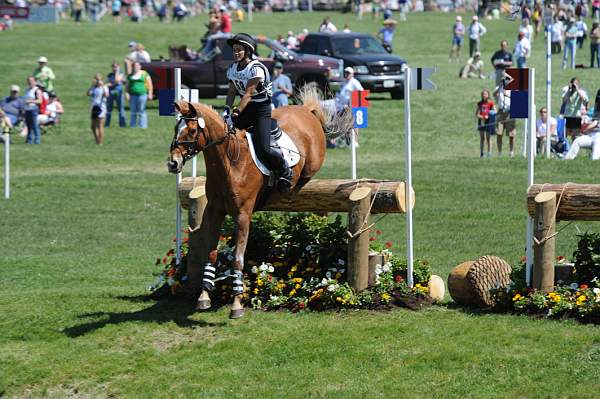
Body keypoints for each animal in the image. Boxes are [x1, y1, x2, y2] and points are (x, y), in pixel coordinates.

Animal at [166, 89, 352, 320]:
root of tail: (305, 110)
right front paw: (204, 296)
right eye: (176, 128)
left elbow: (237, 259)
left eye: (191, 131)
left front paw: (236, 304)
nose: (173, 163)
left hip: (312, 164)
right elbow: (211, 253)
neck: (229, 163)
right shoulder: (213, 211)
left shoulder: (243, 215)